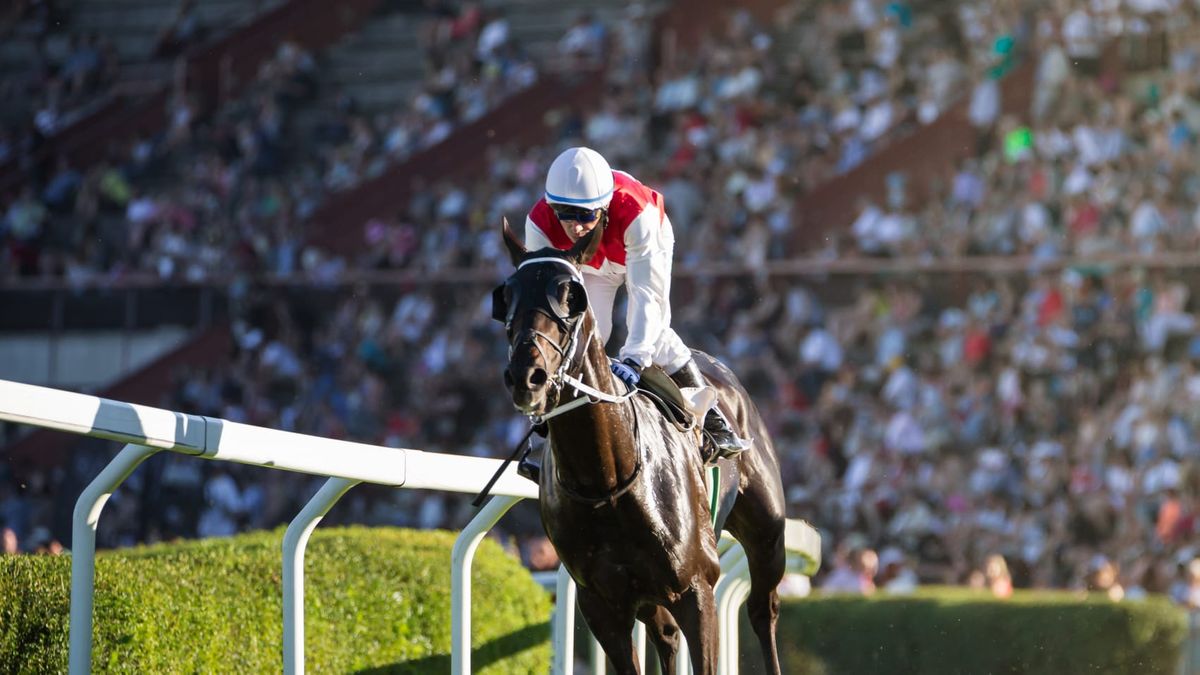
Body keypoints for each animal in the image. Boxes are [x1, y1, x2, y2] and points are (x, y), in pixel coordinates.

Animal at [492, 220, 792, 672]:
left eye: (571, 297)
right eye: (506, 296)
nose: (528, 376)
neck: (607, 480)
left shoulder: (696, 589)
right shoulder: (603, 605)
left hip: (766, 532)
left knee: (762, 609)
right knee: (665, 635)